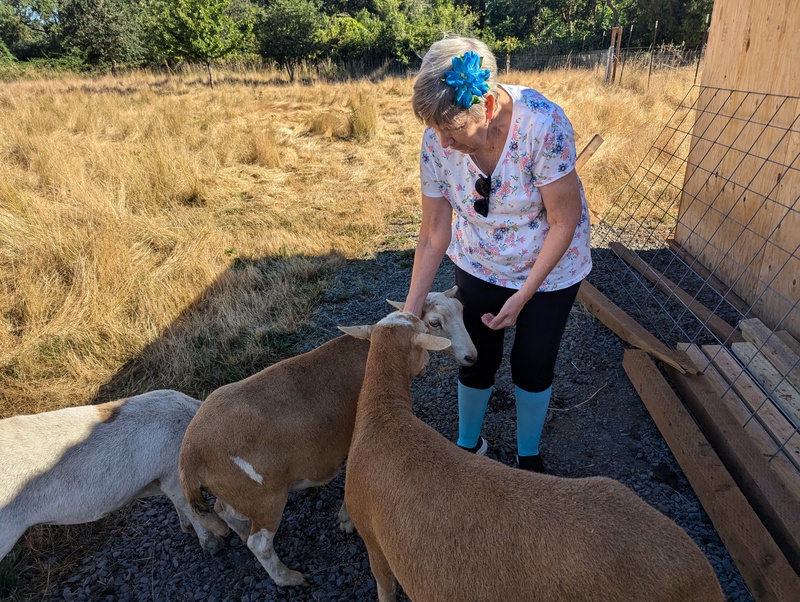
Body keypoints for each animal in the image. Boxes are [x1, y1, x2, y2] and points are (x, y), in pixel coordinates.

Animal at [177, 286, 476, 584]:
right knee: (259, 543)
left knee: (224, 513)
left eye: (461, 310)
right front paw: (345, 519)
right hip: (263, 497)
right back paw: (289, 578)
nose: (471, 356)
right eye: (434, 323)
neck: (375, 352)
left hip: (236, 492)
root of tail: (190, 455)